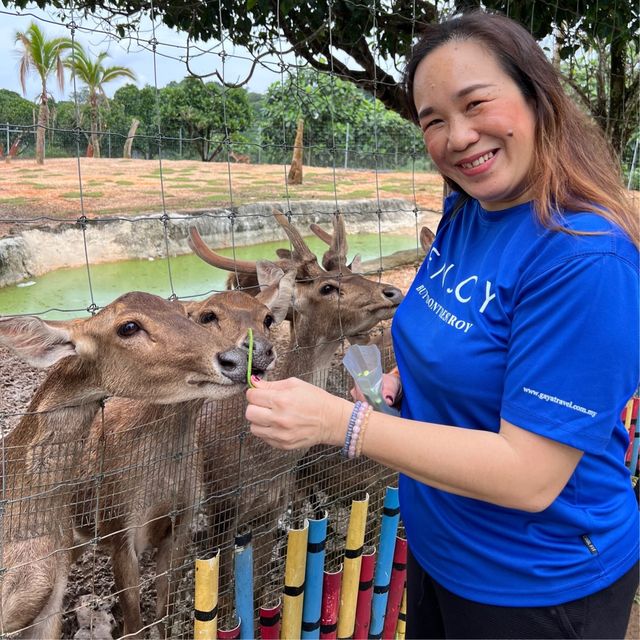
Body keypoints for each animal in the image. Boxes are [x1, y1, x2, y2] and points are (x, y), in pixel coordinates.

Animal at [68, 262, 296, 636]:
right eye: (207, 316)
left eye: (266, 319)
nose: (258, 350)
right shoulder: (118, 527)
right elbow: (134, 621)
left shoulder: (182, 520)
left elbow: (166, 611)